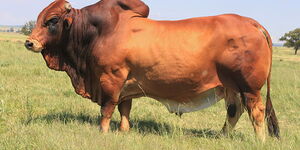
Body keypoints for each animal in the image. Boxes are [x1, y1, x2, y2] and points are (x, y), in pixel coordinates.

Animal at [25, 0, 278, 140]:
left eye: (52, 20)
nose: (29, 42)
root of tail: (253, 23)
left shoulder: (111, 79)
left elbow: (107, 109)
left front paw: (103, 132)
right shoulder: (126, 84)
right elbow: (124, 108)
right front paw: (124, 130)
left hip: (249, 88)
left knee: (256, 112)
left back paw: (260, 140)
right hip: (230, 87)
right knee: (234, 111)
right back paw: (222, 136)